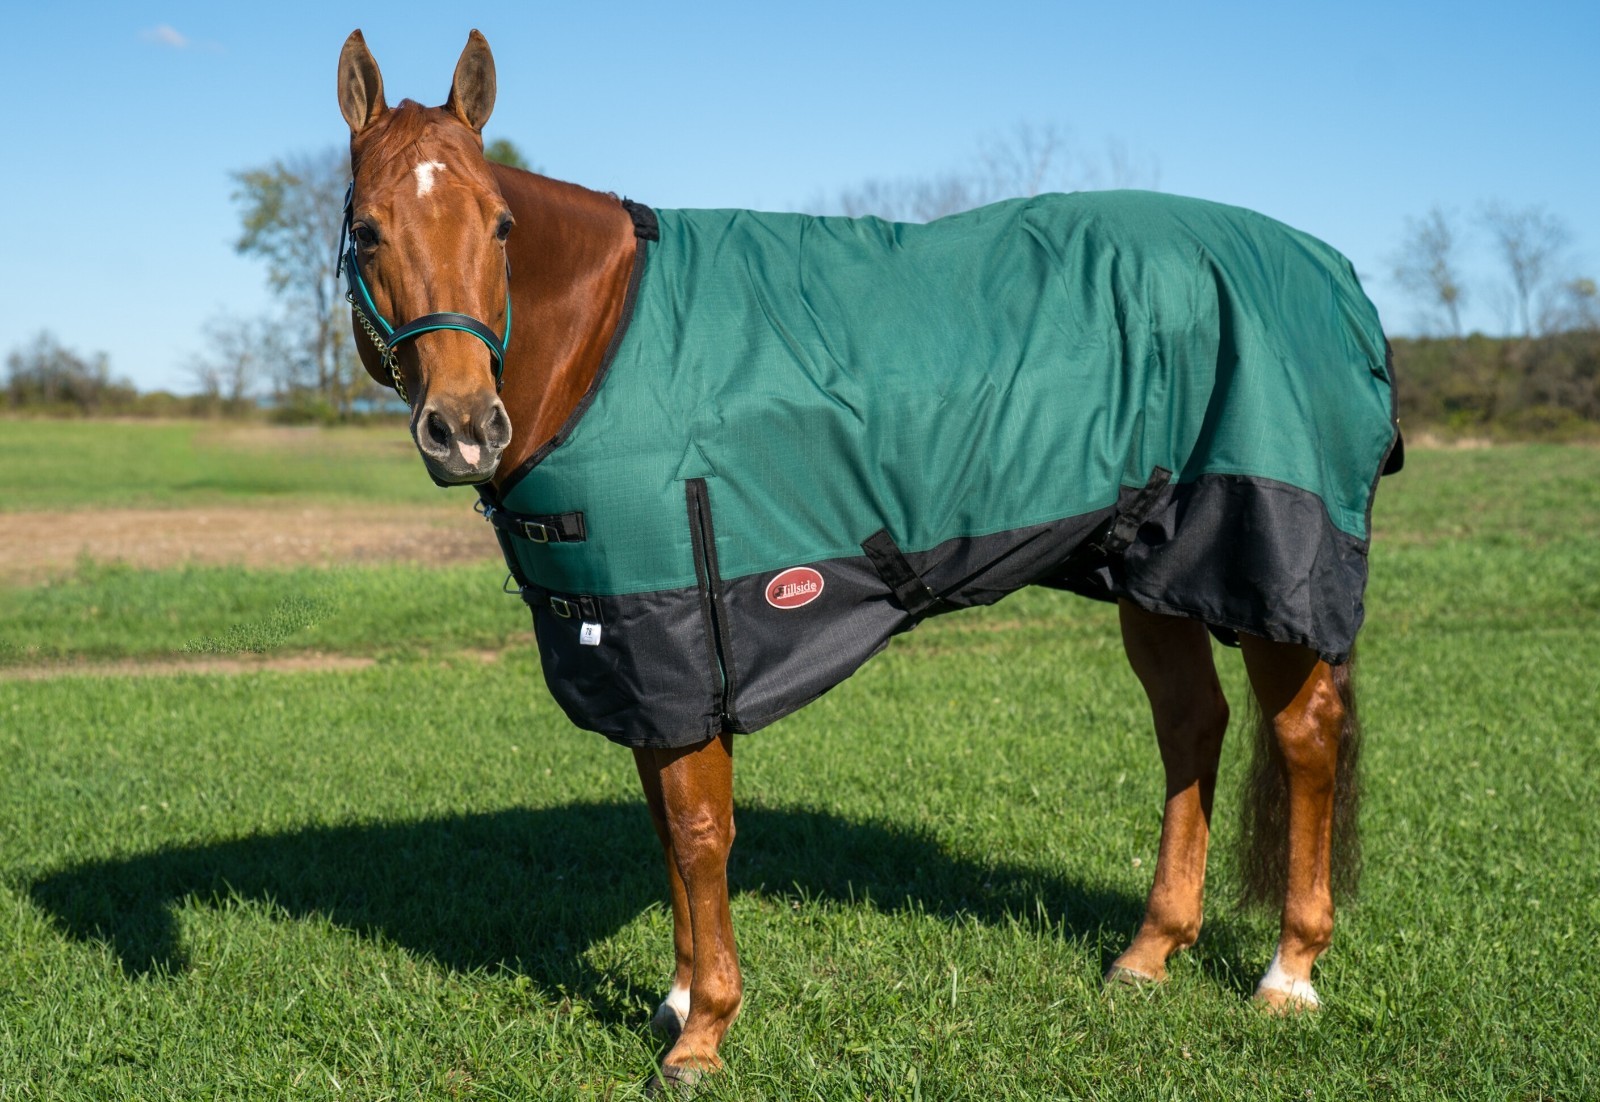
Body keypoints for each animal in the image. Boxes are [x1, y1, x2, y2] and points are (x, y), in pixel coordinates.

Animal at [336, 29, 1400, 1089]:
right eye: (370, 231)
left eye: (502, 225)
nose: (465, 428)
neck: (609, 340)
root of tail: (1335, 270)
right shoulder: (640, 655)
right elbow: (664, 828)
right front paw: (675, 997)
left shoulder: (691, 642)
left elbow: (700, 834)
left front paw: (703, 1031)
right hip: (1153, 567)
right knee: (1190, 726)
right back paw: (1149, 953)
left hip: (1269, 561)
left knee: (1303, 736)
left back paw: (1289, 972)